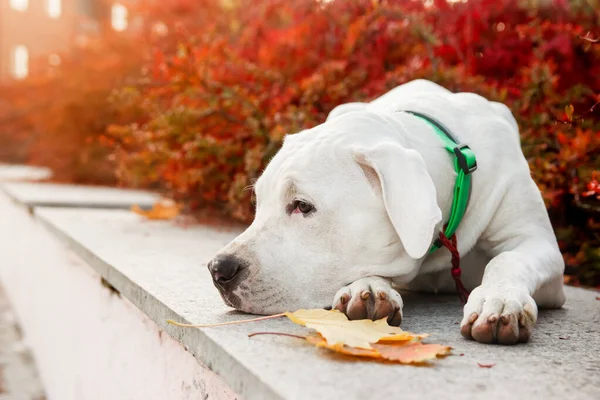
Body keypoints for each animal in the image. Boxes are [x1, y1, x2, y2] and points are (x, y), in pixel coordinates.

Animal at [209, 80, 564, 344]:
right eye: (259, 202)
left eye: (302, 206)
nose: (217, 269)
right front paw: (365, 288)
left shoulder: (540, 247)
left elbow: (508, 259)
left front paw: (500, 300)